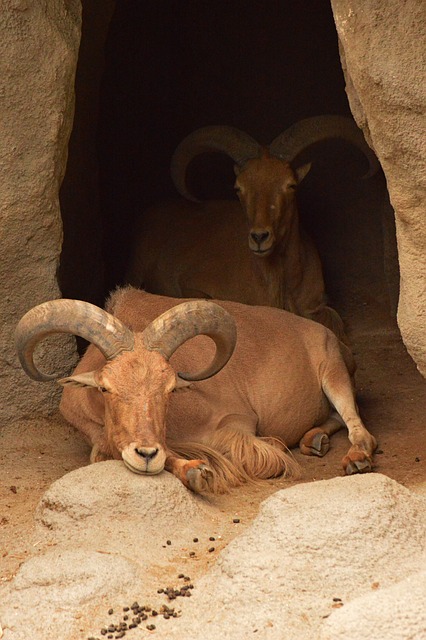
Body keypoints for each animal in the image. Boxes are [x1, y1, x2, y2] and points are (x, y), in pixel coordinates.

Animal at [15, 287, 377, 494]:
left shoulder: (236, 422)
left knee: (357, 424)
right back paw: (314, 439)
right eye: (106, 388)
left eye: (170, 389)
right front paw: (192, 470)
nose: (145, 452)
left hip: (333, 371)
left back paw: (356, 458)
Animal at [126, 115, 379, 343]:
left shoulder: (317, 303)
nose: (259, 237)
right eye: (239, 188)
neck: (276, 277)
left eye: (291, 185)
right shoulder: (193, 286)